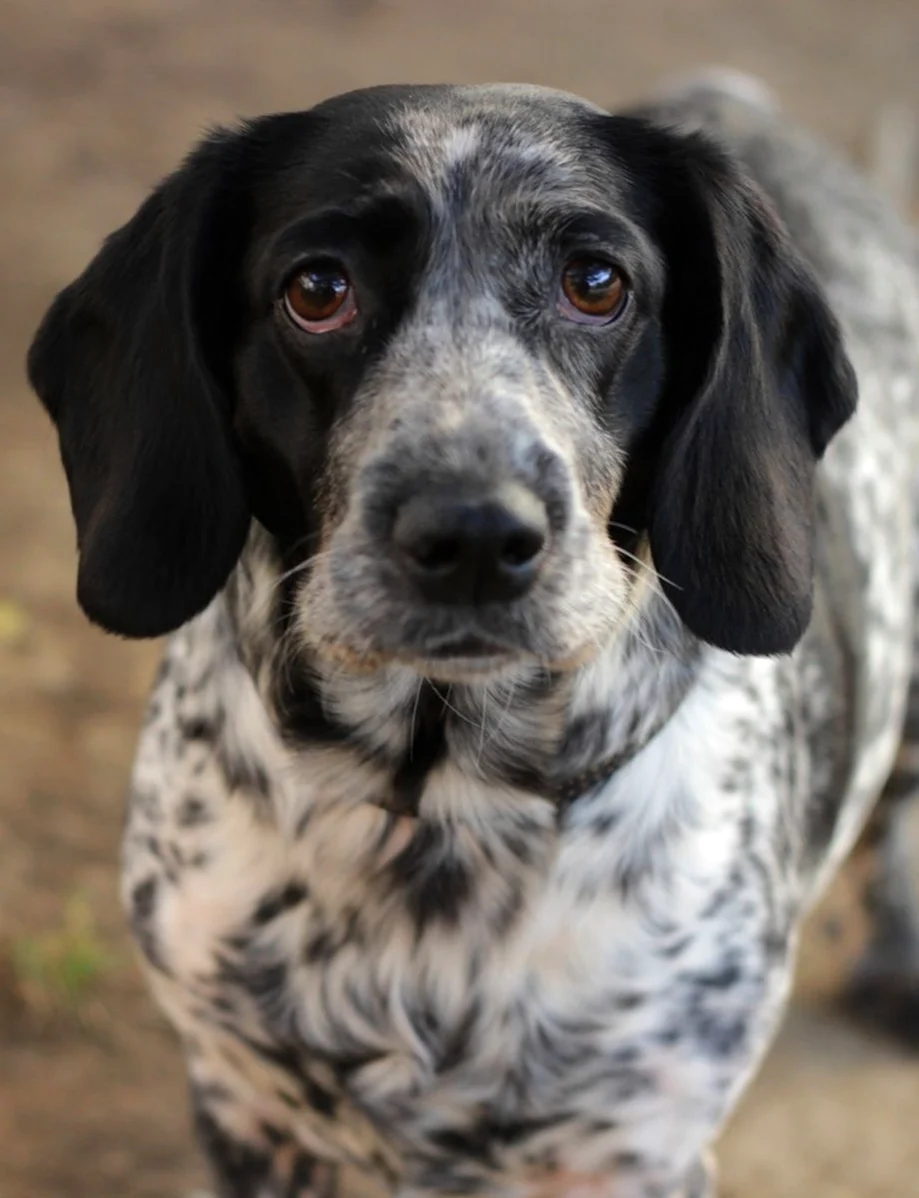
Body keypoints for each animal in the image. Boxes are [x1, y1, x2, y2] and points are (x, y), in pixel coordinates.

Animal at [25, 77, 919, 1198]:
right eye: (317, 288)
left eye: (596, 282)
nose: (476, 537)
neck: (436, 807)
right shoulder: (246, 1106)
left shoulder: (635, 1148)